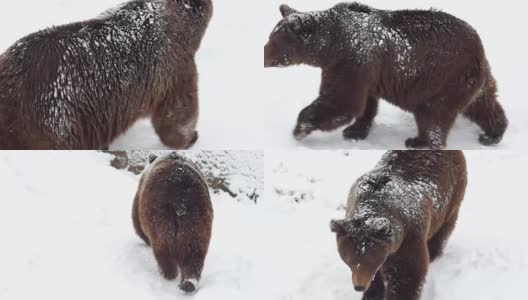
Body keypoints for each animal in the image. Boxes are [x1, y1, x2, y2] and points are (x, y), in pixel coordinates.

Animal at [132, 152, 214, 292]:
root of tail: (181, 197)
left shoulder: (140, 193)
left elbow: (136, 220)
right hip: (198, 219)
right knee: (194, 252)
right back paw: (189, 283)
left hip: (159, 215)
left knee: (161, 247)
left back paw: (168, 273)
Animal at [266, 3, 510, 149]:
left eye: (273, 40)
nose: (265, 58)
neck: (329, 45)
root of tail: (479, 47)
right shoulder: (364, 70)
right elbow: (364, 103)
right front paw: (355, 130)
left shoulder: (351, 59)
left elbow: (341, 101)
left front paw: (300, 128)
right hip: (472, 81)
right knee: (484, 105)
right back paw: (493, 133)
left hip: (442, 79)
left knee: (433, 114)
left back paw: (419, 141)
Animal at [330, 151, 466, 300]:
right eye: (349, 260)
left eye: (371, 260)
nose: (359, 286)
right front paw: (371, 293)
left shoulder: (408, 237)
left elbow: (406, 275)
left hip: (450, 197)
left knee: (443, 228)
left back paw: (433, 253)